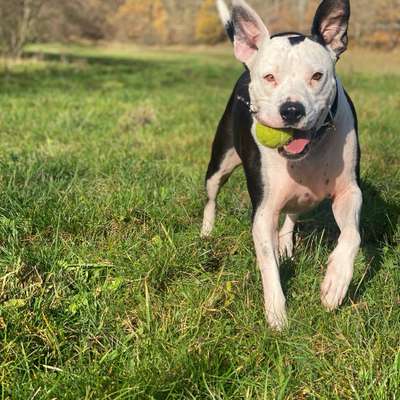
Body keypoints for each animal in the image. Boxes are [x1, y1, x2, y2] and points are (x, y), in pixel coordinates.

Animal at [202, 0, 360, 330]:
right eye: (270, 78)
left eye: (317, 76)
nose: (291, 109)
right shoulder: (263, 211)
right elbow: (267, 264)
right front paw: (277, 315)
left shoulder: (350, 193)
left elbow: (352, 236)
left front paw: (336, 282)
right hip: (220, 163)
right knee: (211, 197)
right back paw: (207, 232)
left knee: (292, 216)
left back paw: (286, 246)